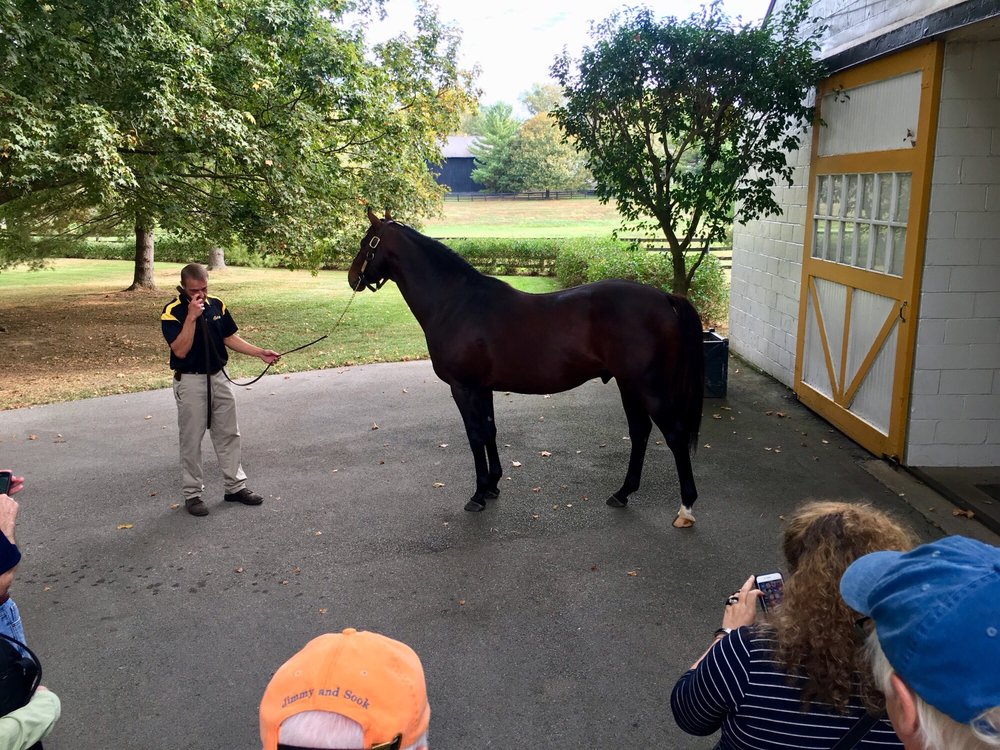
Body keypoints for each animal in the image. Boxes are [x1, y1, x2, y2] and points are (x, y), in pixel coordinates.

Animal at [348, 208, 705, 528]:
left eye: (367, 243)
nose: (353, 278)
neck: (455, 303)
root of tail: (665, 298)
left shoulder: (463, 388)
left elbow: (474, 435)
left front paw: (477, 495)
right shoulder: (483, 388)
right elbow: (489, 431)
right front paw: (492, 486)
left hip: (648, 387)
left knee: (674, 435)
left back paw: (686, 508)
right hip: (628, 384)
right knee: (640, 432)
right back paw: (622, 493)